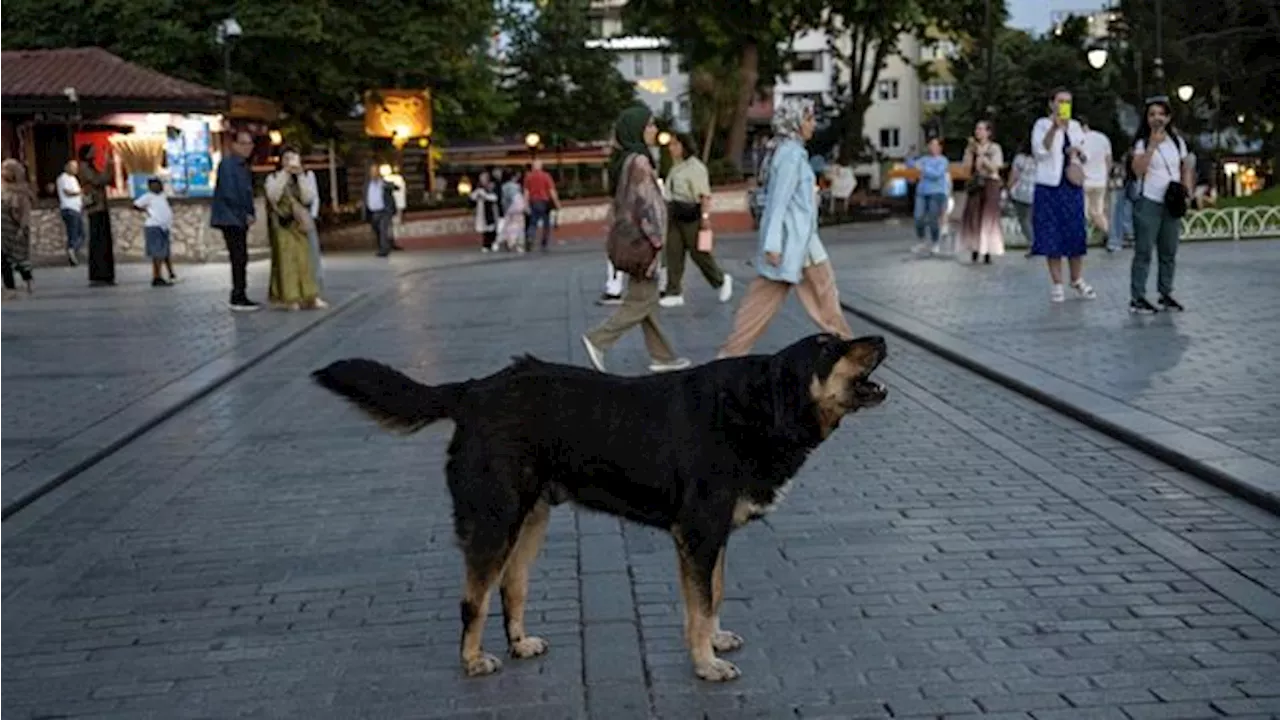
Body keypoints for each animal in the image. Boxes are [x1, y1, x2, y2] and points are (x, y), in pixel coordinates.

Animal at [314, 330, 885, 676]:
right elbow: (700, 607)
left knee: (511, 589)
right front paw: (705, 664)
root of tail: (473, 390)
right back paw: (473, 660)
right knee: (473, 599)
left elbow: (714, 596)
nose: (879, 338)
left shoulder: (712, 538)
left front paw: (714, 643)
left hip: (531, 520)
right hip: (496, 520)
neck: (758, 408)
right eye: (827, 349)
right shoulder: (698, 534)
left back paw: (519, 643)